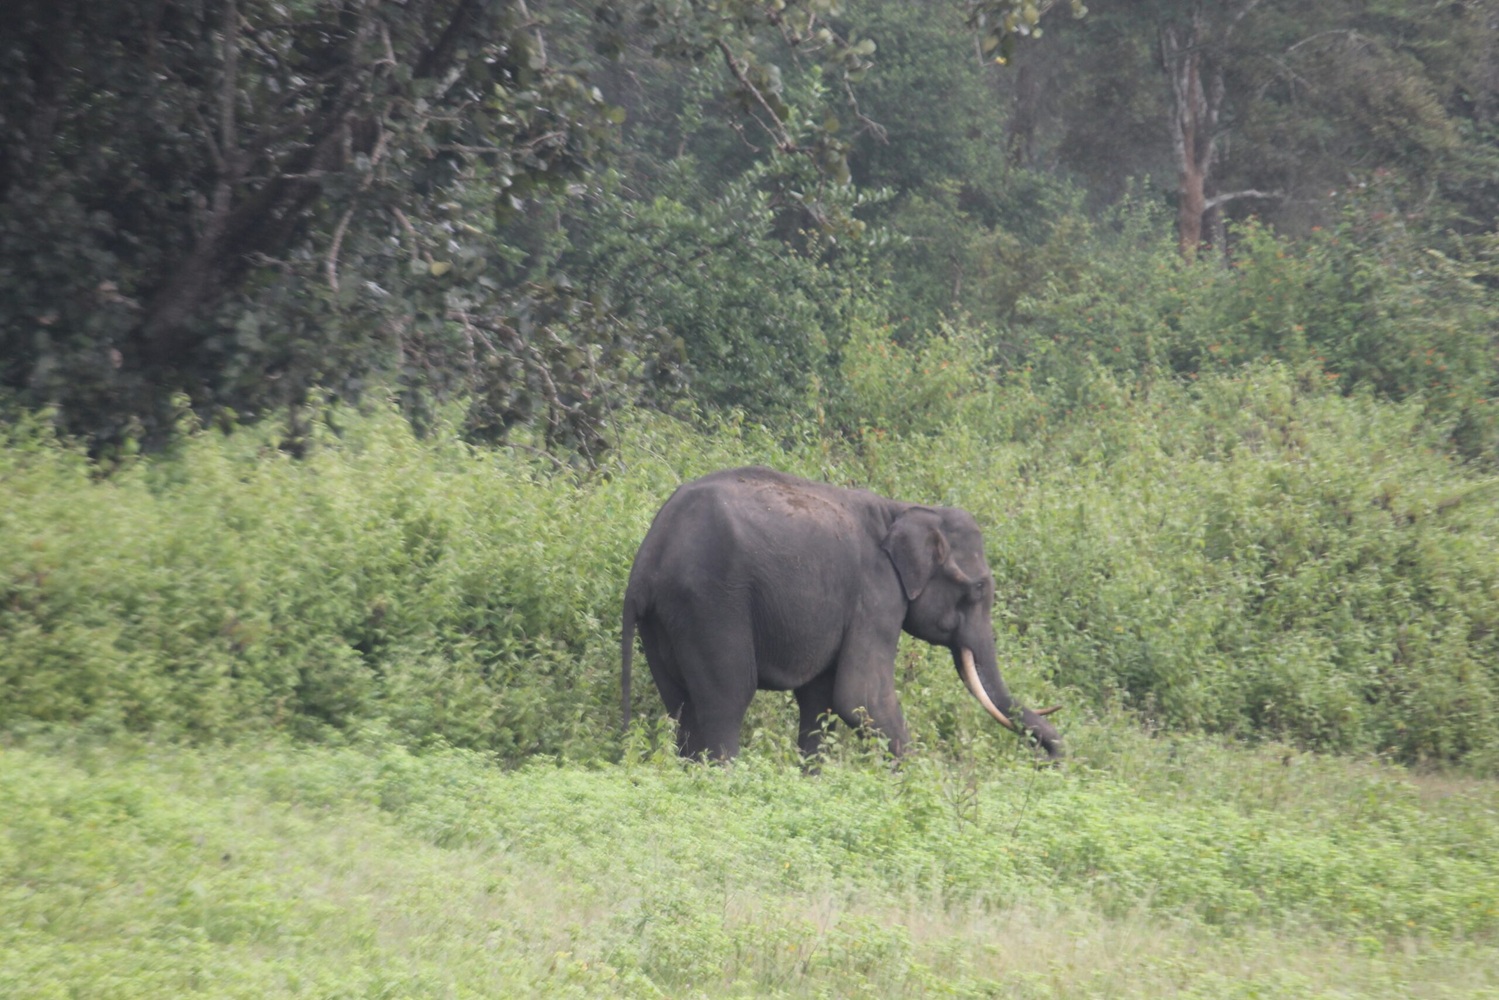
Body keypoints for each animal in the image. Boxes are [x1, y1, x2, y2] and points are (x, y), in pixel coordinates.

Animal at [620, 466, 1062, 761]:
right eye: (979, 589)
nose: (1055, 760)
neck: (903, 508)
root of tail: (649, 557)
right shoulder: (876, 595)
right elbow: (860, 696)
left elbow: (821, 700)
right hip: (711, 603)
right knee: (726, 699)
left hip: (663, 620)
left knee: (680, 704)